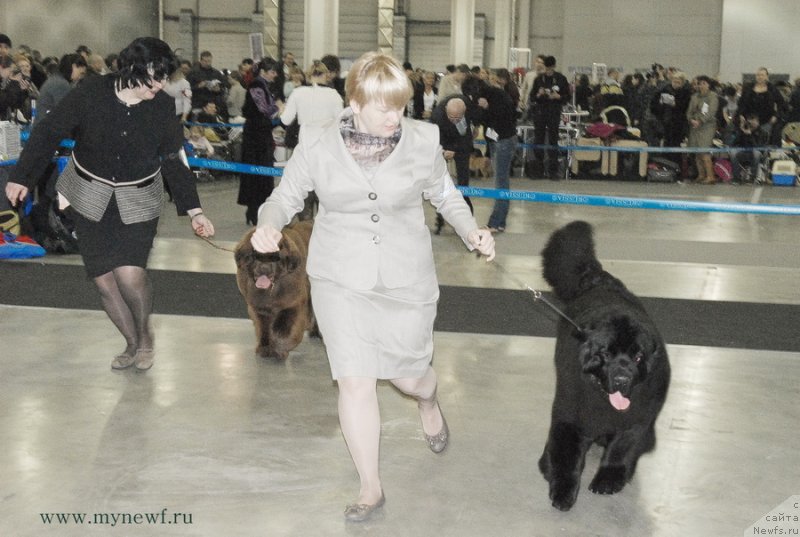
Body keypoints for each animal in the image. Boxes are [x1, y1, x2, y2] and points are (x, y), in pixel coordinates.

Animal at [233, 218, 318, 360]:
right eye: (255, 255)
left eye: (276, 257)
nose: (264, 268)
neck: (270, 290)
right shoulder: (259, 308)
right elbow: (264, 329)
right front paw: (265, 348)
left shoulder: (293, 304)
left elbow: (283, 328)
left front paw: (280, 347)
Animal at [536, 221, 668, 510]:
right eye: (605, 354)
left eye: (638, 357)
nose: (621, 379)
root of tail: (597, 277)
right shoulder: (570, 415)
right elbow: (566, 456)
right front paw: (562, 490)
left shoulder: (638, 417)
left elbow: (622, 447)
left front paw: (608, 480)